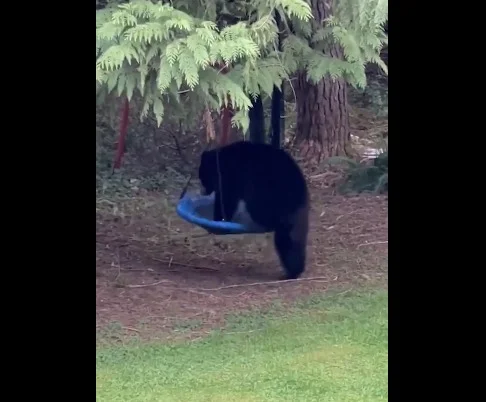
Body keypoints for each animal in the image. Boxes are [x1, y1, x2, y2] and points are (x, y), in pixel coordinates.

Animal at [198, 141, 310, 280]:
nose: (203, 191)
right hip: (298, 218)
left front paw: (219, 219)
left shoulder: (231, 176)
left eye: (202, 177)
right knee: (292, 242)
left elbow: (227, 198)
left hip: (266, 195)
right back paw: (295, 271)